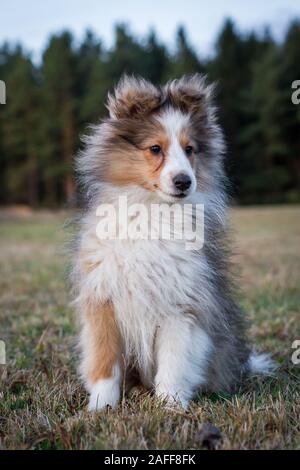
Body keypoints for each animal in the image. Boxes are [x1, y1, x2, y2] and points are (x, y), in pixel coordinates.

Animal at [72, 74, 274, 412]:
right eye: (155, 148)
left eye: (190, 149)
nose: (184, 181)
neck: (155, 212)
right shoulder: (103, 300)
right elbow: (105, 361)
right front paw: (101, 407)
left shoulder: (181, 305)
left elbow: (174, 362)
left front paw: (171, 406)